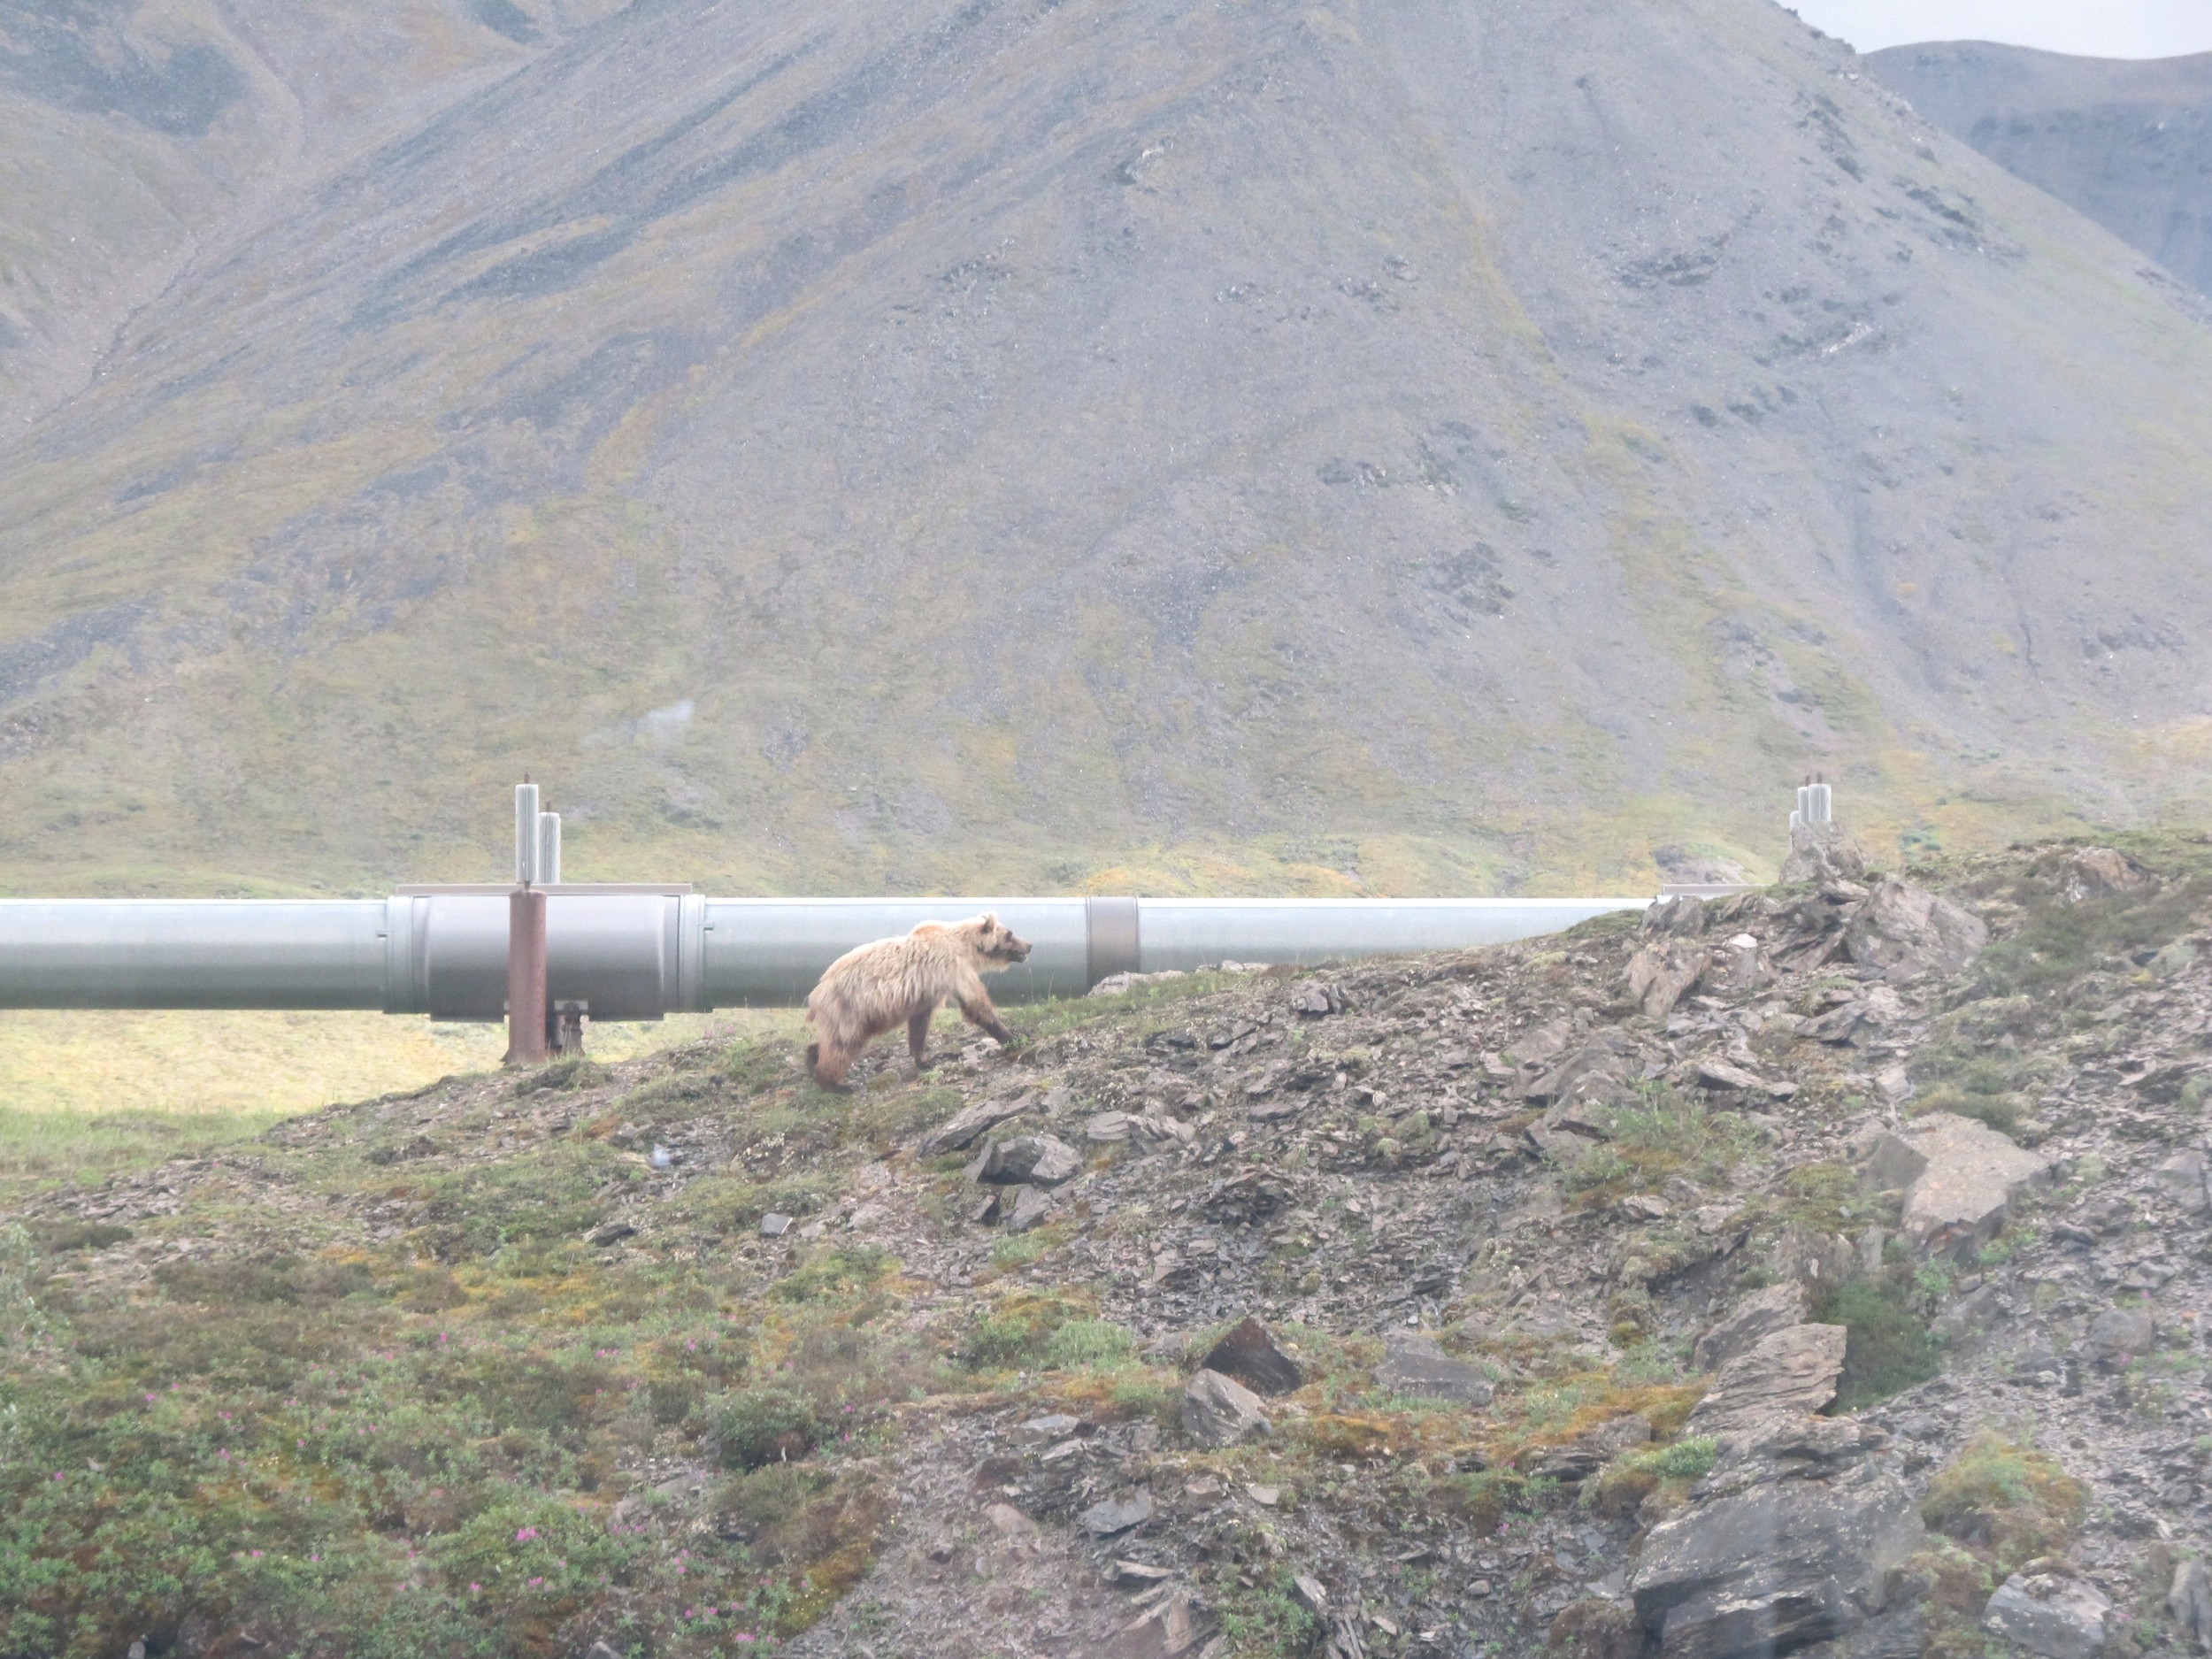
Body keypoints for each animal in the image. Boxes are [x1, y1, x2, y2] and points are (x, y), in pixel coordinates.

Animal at [803, 913, 1032, 1087]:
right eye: (1010, 933)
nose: (1029, 945)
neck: (965, 947)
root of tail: (817, 991)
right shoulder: (953, 969)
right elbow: (976, 1006)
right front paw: (1013, 1037)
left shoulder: (925, 991)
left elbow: (919, 1024)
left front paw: (924, 1060)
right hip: (851, 1006)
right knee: (843, 1042)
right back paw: (834, 1083)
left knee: (834, 1039)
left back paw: (812, 1057)